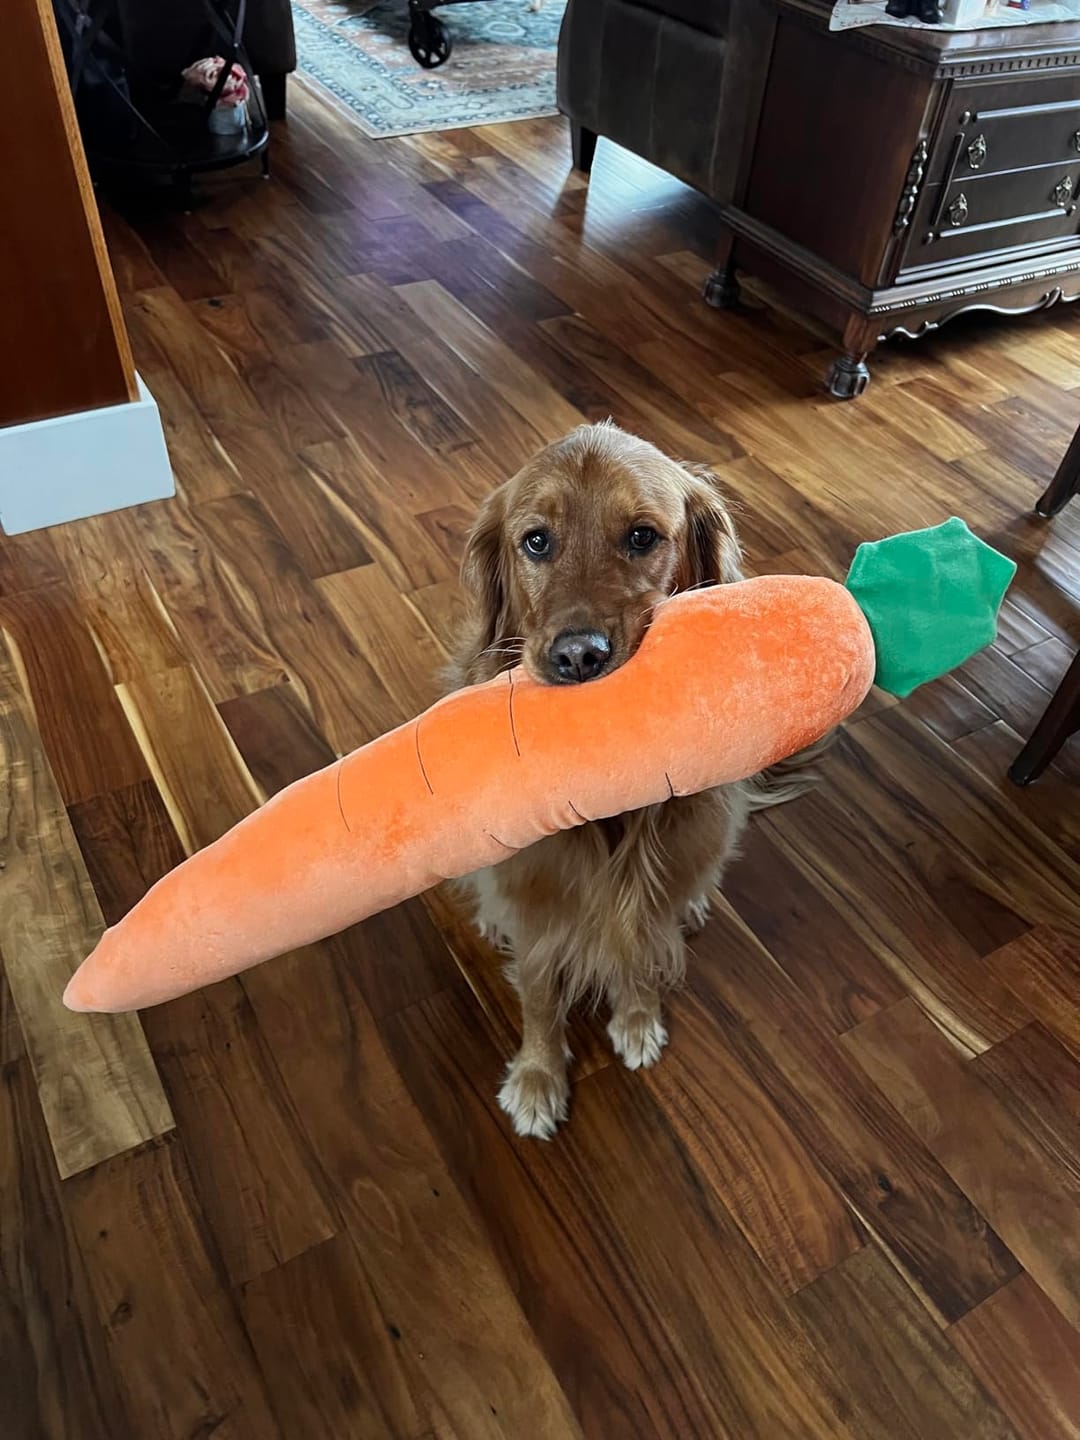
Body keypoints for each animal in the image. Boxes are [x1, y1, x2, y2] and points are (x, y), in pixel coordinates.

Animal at [449, 420, 817, 1140]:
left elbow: (643, 947)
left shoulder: (655, 882)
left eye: (643, 536)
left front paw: (638, 1018)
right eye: (537, 541)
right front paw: (537, 1077)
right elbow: (540, 991)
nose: (577, 656)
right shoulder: (539, 897)